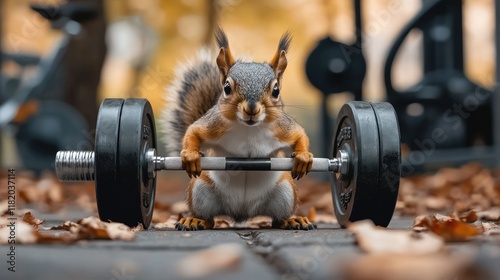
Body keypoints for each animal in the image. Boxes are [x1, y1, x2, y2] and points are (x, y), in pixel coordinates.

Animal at [162, 27, 314, 231]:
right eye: (227, 87)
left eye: (276, 90)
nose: (251, 109)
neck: (249, 129)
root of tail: (242, 214)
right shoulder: (213, 124)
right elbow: (193, 132)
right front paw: (191, 156)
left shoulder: (282, 127)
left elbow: (300, 135)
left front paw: (303, 157)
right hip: (201, 190)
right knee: (209, 219)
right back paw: (196, 220)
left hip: (285, 191)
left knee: (277, 219)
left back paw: (291, 220)